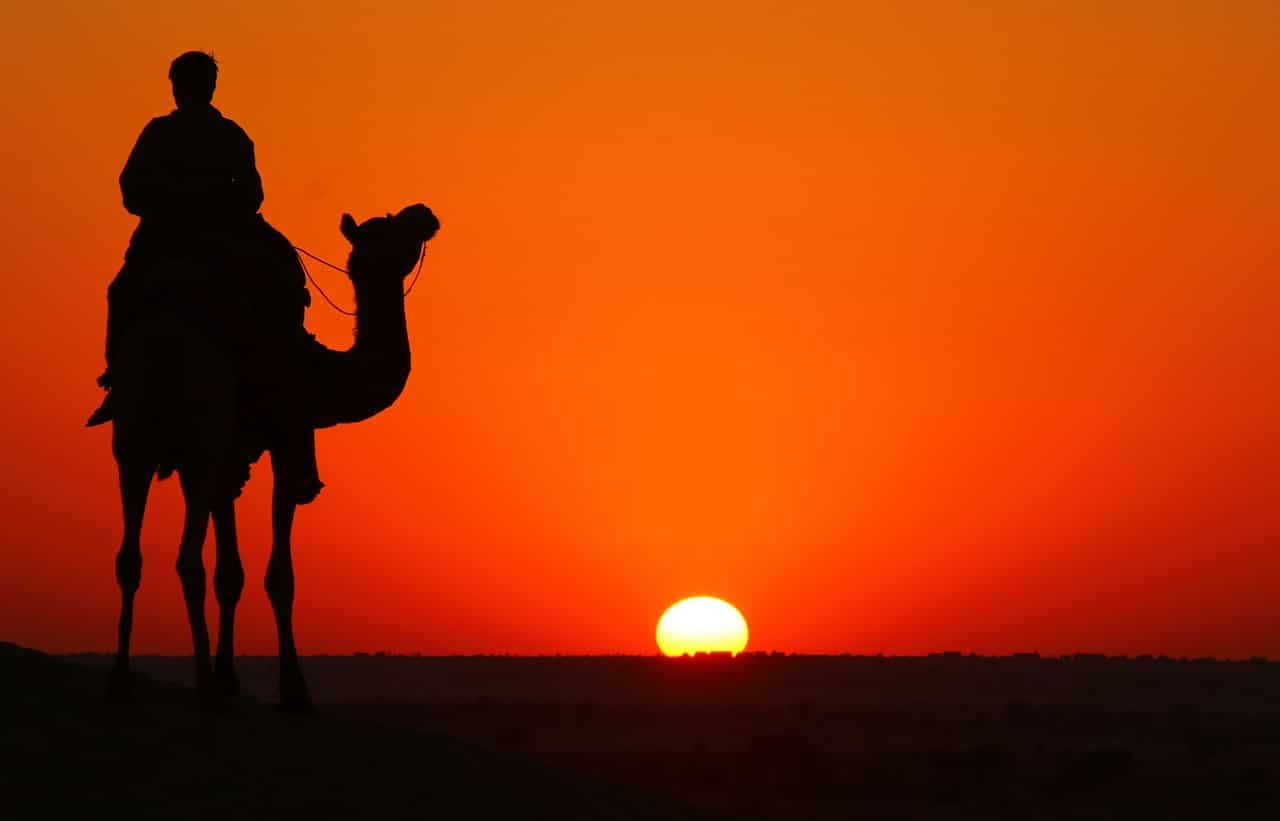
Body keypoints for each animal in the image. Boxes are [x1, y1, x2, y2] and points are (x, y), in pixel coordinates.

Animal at [106, 202, 435, 707]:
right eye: (392, 227)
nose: (425, 213)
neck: (320, 372)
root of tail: (165, 350)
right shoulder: (283, 437)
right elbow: (279, 575)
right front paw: (293, 690)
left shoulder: (231, 459)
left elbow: (230, 573)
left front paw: (230, 678)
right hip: (202, 433)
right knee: (186, 560)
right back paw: (202, 688)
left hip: (134, 441)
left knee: (131, 557)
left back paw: (123, 681)